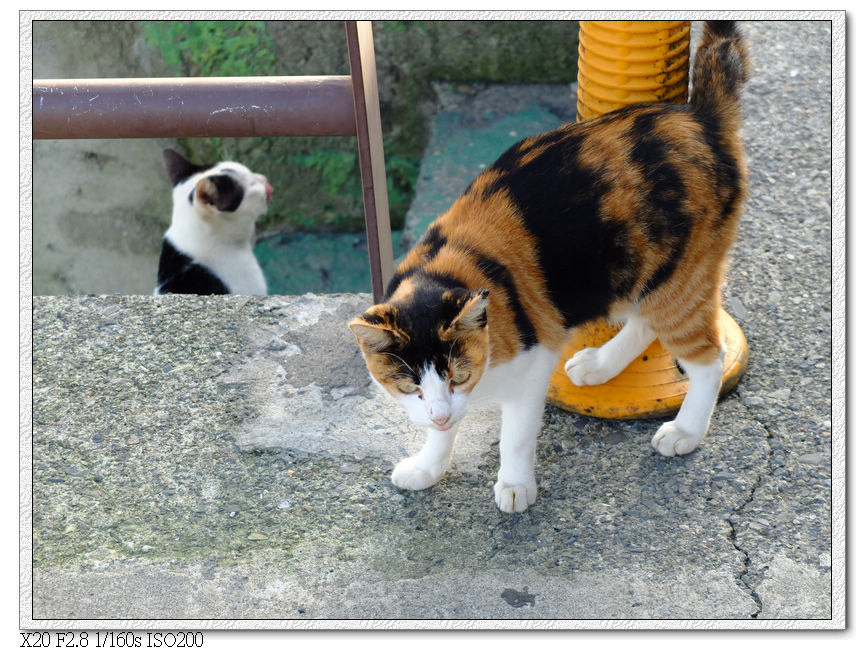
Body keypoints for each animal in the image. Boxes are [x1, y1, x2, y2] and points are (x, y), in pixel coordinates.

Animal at [348, 21, 744, 512]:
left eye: (459, 376)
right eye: (409, 388)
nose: (438, 413)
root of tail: (699, 117)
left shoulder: (533, 365)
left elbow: (515, 435)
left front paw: (515, 485)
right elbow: (443, 434)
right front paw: (428, 465)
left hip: (678, 277)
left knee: (708, 357)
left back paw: (686, 430)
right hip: (637, 269)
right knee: (645, 322)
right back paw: (599, 365)